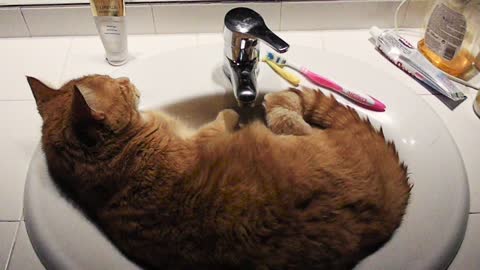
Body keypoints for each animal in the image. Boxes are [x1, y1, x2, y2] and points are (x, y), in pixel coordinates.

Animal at [28, 74, 410, 270]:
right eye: (120, 86)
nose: (127, 77)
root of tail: (389, 204)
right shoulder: (203, 135)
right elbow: (223, 119)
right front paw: (233, 111)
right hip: (297, 136)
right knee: (287, 116)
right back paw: (278, 102)